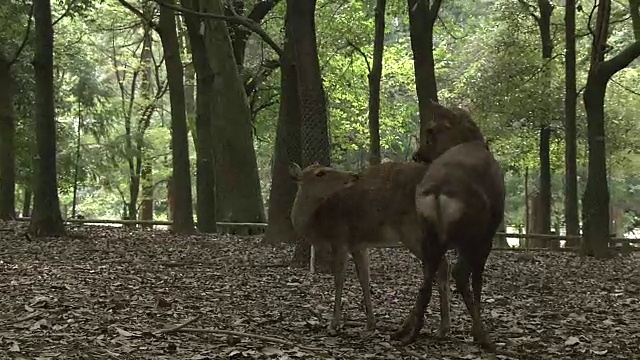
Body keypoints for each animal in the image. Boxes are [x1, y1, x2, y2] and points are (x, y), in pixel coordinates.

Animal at [288, 162, 452, 336]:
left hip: (413, 231)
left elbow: (339, 280)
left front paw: (333, 325)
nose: (353, 175)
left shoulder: (340, 239)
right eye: (320, 173)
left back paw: (434, 327)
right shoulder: (358, 245)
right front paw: (370, 324)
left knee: (441, 265)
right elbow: (364, 279)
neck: (317, 223)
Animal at [392, 100, 508, 352]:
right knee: (460, 272)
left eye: (430, 131)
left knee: (429, 274)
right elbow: (478, 279)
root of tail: (438, 191)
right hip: (472, 234)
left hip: (428, 233)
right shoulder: (490, 232)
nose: (417, 155)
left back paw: (411, 334)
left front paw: (404, 327)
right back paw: (484, 336)